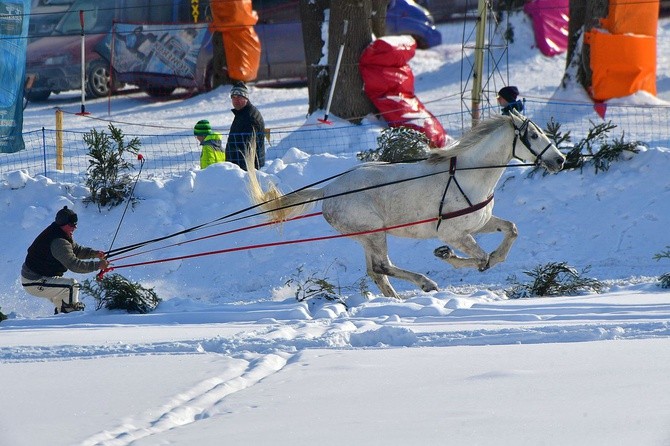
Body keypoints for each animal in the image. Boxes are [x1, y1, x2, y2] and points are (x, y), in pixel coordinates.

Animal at [247, 110, 568, 300]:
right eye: (534, 135)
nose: (560, 160)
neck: (469, 174)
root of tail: (328, 189)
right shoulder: (454, 233)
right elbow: (480, 259)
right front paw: (444, 255)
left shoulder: (478, 223)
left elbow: (510, 231)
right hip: (374, 233)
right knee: (383, 266)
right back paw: (426, 284)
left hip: (367, 237)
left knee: (376, 271)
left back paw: (397, 300)